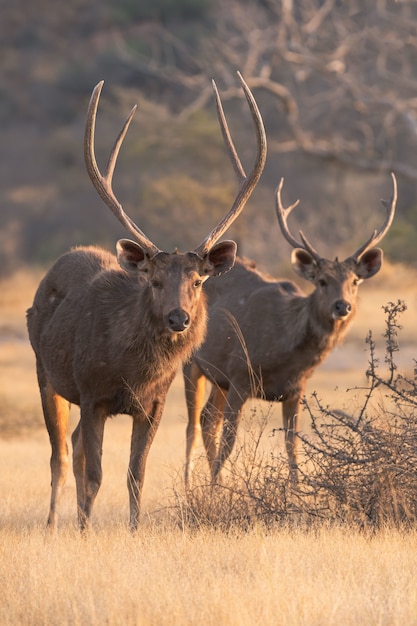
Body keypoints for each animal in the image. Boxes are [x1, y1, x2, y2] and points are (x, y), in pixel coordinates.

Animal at [26, 74, 266, 532]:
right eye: (154, 281)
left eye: (198, 280)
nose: (179, 317)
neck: (132, 372)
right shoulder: (92, 393)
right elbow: (95, 473)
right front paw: (86, 534)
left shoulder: (153, 404)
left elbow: (136, 474)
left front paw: (134, 531)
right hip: (46, 374)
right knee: (60, 455)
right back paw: (50, 525)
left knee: (73, 447)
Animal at [184, 173, 396, 486]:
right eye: (321, 281)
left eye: (355, 281)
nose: (342, 306)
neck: (285, 351)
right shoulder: (241, 374)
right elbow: (229, 444)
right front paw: (213, 490)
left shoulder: (296, 389)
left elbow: (292, 447)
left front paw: (295, 493)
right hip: (192, 363)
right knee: (194, 424)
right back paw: (193, 485)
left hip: (218, 377)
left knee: (208, 418)